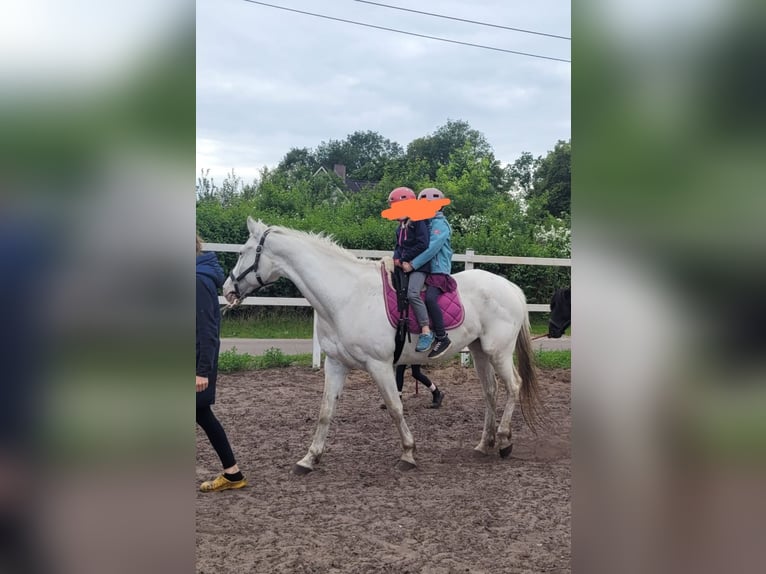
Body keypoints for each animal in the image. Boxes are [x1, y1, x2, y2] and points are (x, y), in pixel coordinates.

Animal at [224, 218, 544, 474]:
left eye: (241, 253)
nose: (227, 290)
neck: (346, 296)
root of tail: (510, 287)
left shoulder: (379, 365)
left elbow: (395, 407)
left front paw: (408, 453)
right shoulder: (335, 364)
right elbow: (326, 410)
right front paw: (309, 458)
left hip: (498, 352)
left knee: (513, 386)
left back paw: (504, 441)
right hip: (479, 352)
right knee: (490, 392)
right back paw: (484, 444)